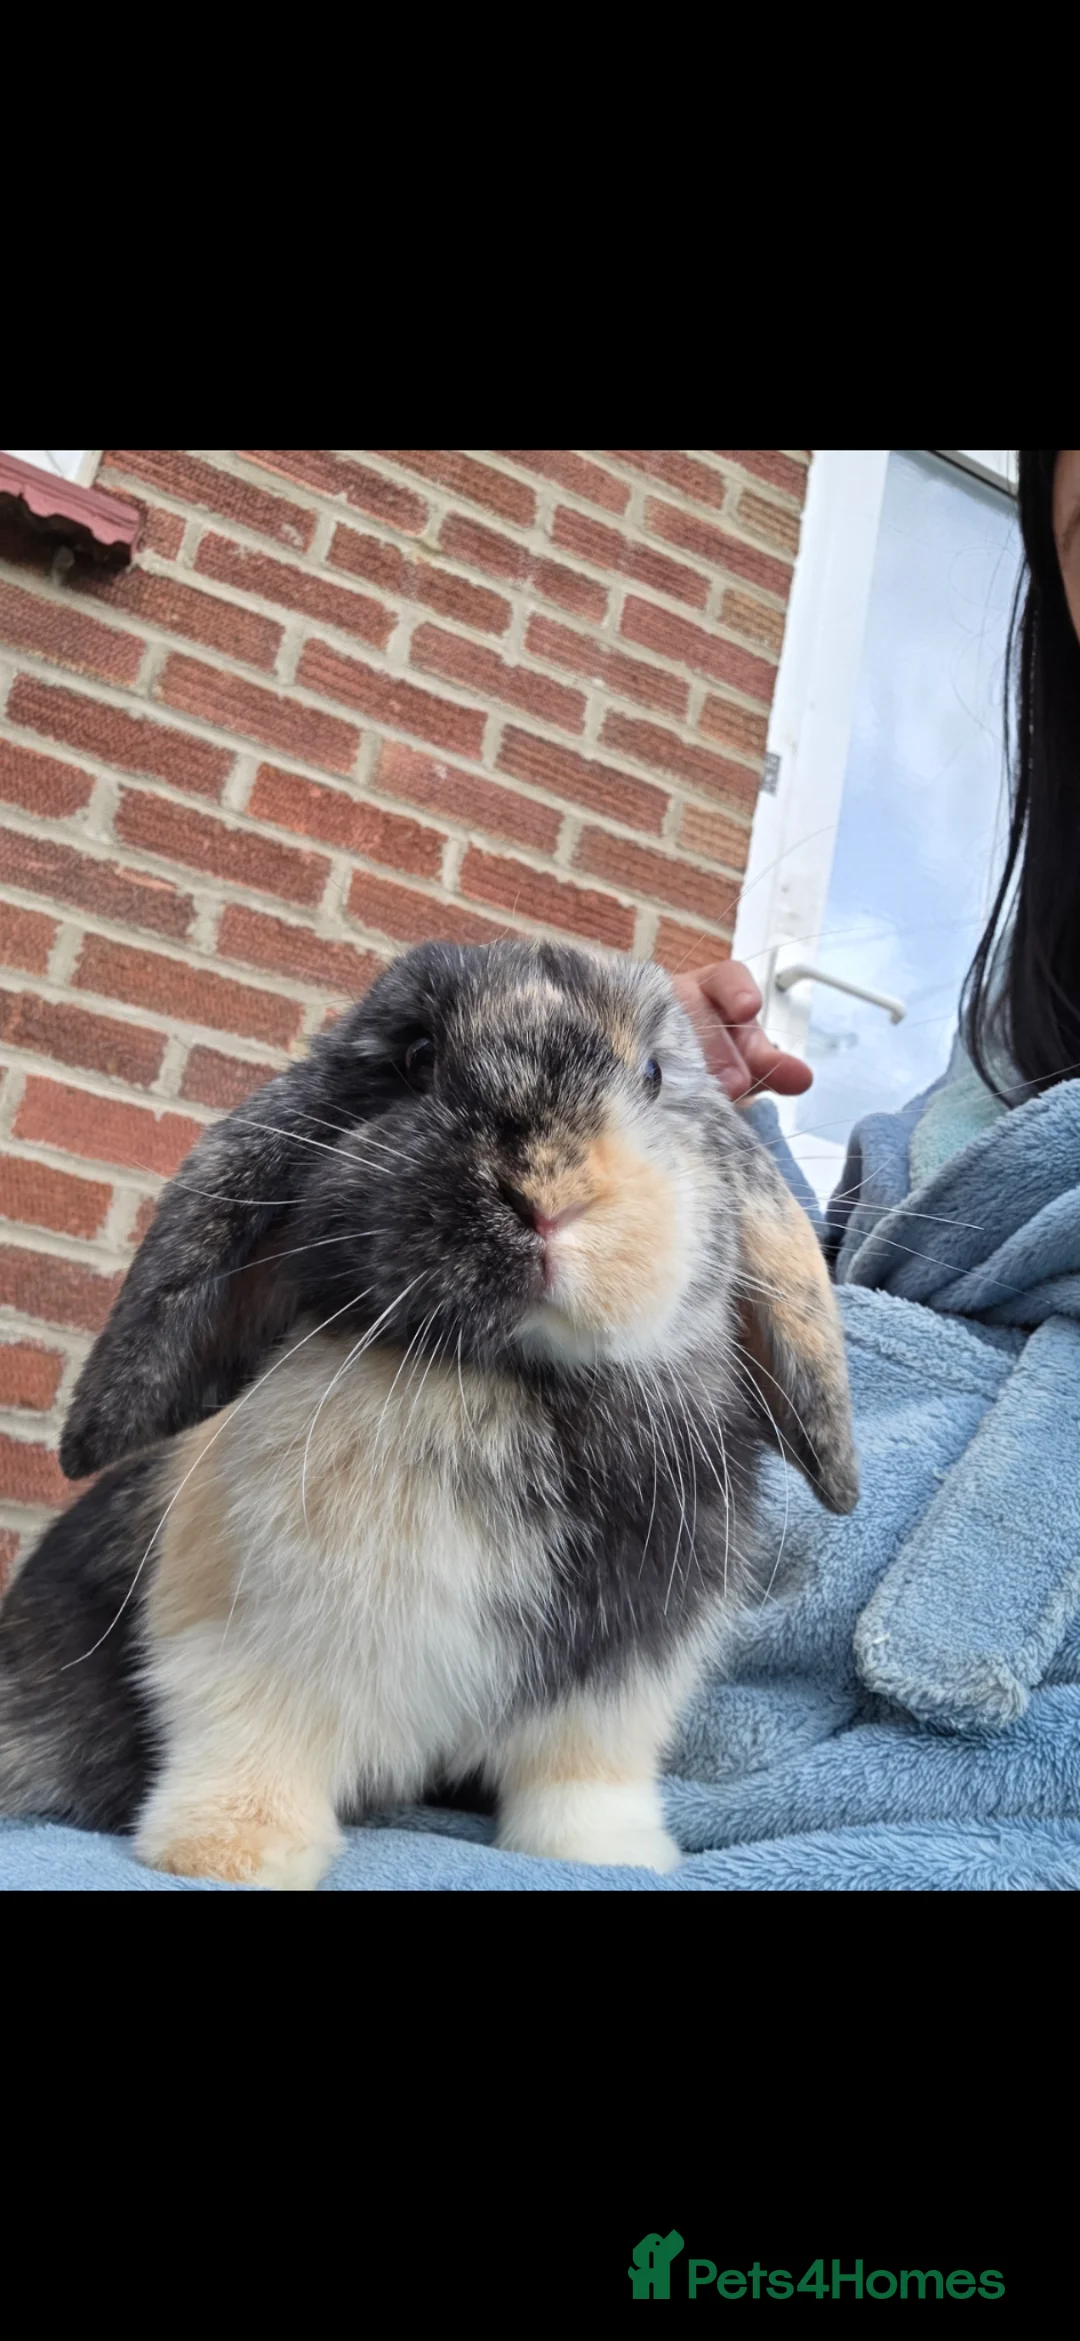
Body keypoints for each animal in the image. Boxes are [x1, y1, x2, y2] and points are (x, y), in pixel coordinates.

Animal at [0, 938, 857, 1887]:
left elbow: (585, 1779)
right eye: (416, 1057)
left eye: (655, 1074)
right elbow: (248, 1742)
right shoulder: (246, 1646)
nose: (548, 1194)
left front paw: (610, 1855)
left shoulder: (611, 1692)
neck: (523, 1384)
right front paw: (228, 1854)